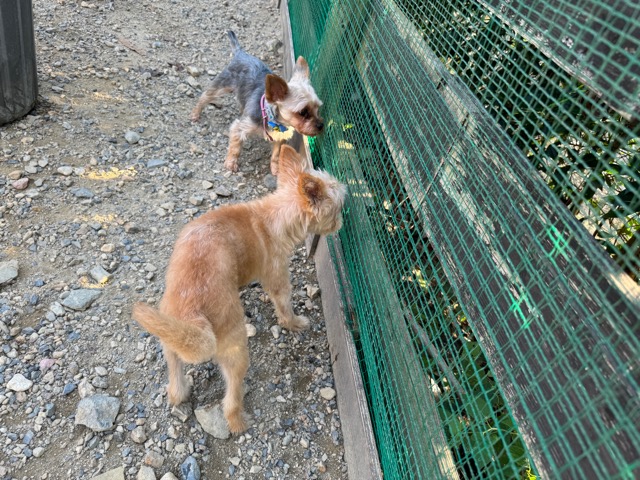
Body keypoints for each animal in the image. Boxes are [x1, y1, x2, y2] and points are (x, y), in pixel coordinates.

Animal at [132, 145, 346, 433]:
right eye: (339, 207)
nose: (342, 222)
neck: (276, 215)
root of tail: (193, 312)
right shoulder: (277, 276)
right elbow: (284, 304)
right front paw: (295, 323)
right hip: (236, 348)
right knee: (230, 399)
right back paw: (239, 422)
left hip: (169, 337)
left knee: (175, 377)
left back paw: (180, 392)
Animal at [190, 31, 324, 176]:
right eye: (303, 112)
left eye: (317, 108)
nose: (321, 125)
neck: (271, 117)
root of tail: (241, 53)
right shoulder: (240, 127)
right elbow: (235, 147)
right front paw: (231, 163)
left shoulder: (279, 136)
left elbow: (276, 153)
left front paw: (275, 168)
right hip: (223, 84)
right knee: (205, 96)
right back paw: (195, 113)